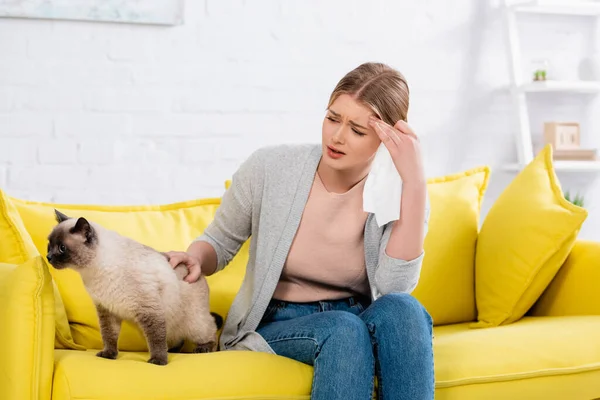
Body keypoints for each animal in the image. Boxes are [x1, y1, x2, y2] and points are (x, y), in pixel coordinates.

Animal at [45, 209, 221, 366]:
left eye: (62, 248)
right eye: (49, 245)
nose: (48, 257)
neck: (93, 271)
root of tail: (198, 273)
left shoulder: (149, 310)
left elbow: (156, 340)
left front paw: (158, 361)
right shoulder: (107, 310)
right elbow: (109, 335)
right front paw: (109, 355)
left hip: (194, 324)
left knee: (210, 331)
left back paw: (202, 349)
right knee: (177, 338)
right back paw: (172, 350)